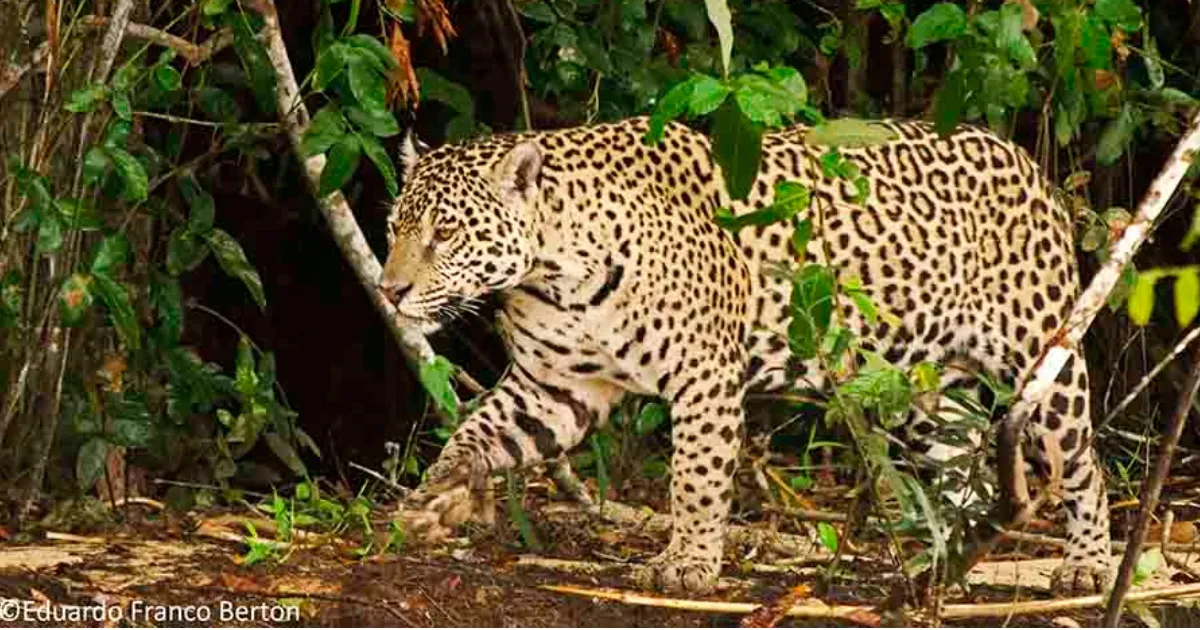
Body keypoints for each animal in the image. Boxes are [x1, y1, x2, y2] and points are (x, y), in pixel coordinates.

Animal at [378, 116, 1111, 595]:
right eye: (392, 229)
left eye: (446, 233)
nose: (389, 290)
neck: (556, 270)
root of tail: (1028, 162)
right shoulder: (553, 386)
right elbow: (476, 432)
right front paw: (434, 501)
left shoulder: (702, 376)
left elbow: (696, 479)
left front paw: (689, 565)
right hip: (913, 384)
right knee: (968, 465)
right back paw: (949, 562)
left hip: (1041, 352)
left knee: (1081, 461)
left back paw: (1089, 564)